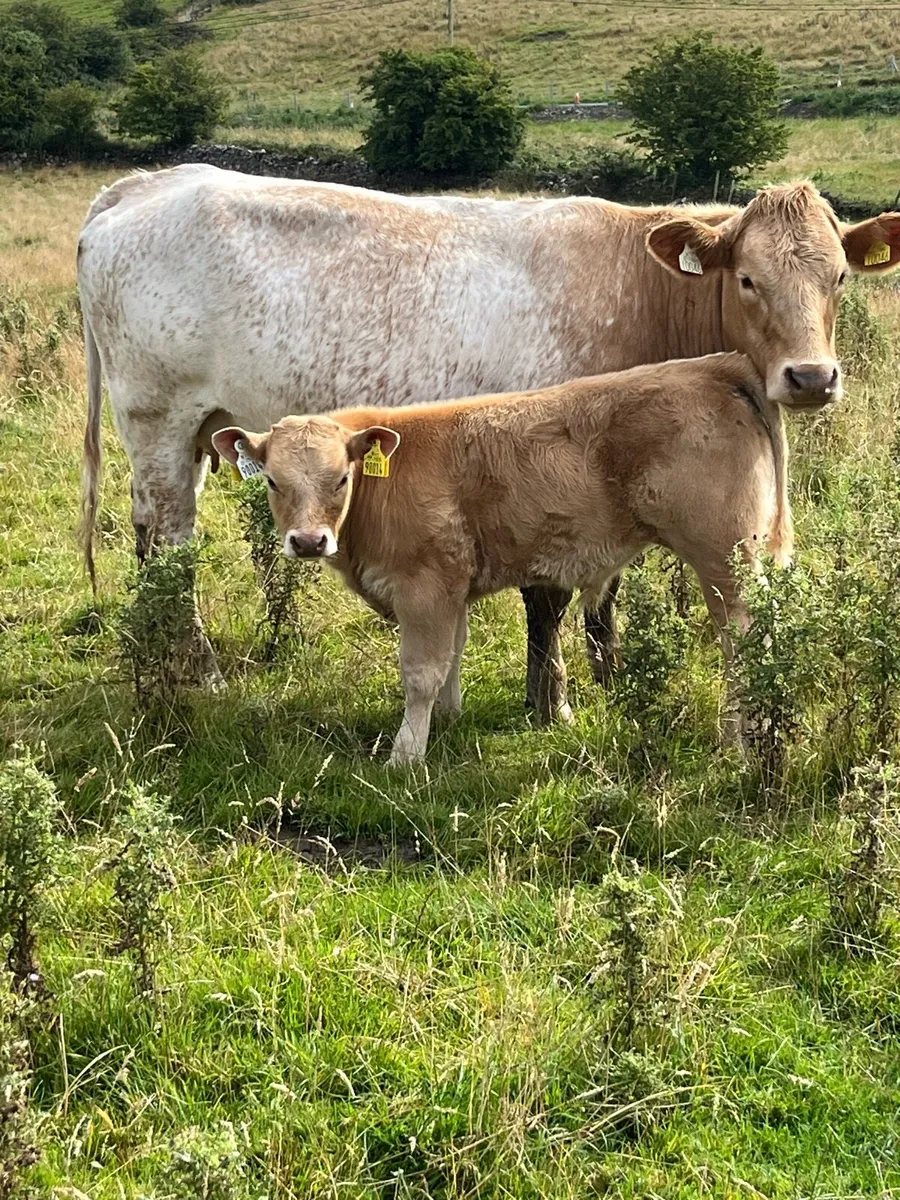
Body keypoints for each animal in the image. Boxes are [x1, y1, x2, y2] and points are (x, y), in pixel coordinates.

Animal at [77, 166, 900, 718]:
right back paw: (196, 669)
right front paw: (553, 701)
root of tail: (148, 183)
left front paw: (610, 678)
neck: (637, 293)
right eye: (749, 279)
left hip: (199, 429)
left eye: (839, 279)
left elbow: (604, 589)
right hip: (156, 417)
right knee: (166, 541)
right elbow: (550, 595)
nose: (811, 377)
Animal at [210, 353, 810, 763]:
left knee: (743, 648)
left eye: (340, 478)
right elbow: (452, 655)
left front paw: (406, 754)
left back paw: (737, 743)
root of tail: (716, 365)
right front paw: (447, 721)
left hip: (724, 561)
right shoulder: (452, 588)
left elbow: (421, 671)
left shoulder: (424, 585)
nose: (309, 541)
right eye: (272, 481)